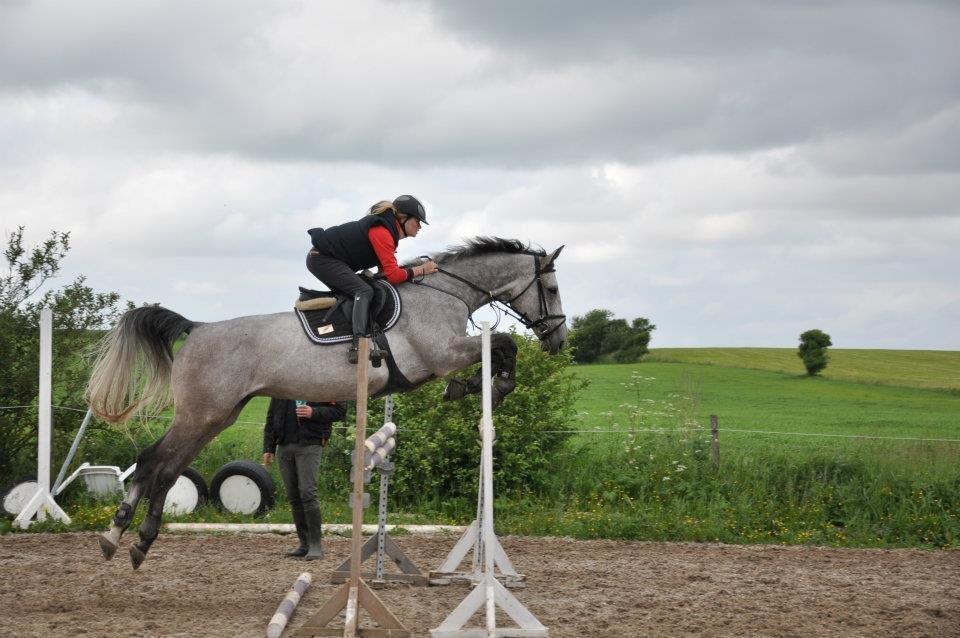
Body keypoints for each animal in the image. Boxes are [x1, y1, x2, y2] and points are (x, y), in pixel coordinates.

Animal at [86, 239, 568, 568]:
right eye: (550, 287)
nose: (559, 340)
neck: (443, 293)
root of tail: (198, 327)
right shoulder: (440, 355)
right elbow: (503, 344)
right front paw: (488, 387)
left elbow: (499, 349)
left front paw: (476, 387)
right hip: (201, 414)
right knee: (155, 461)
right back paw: (116, 535)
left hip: (216, 416)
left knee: (168, 469)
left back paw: (138, 541)